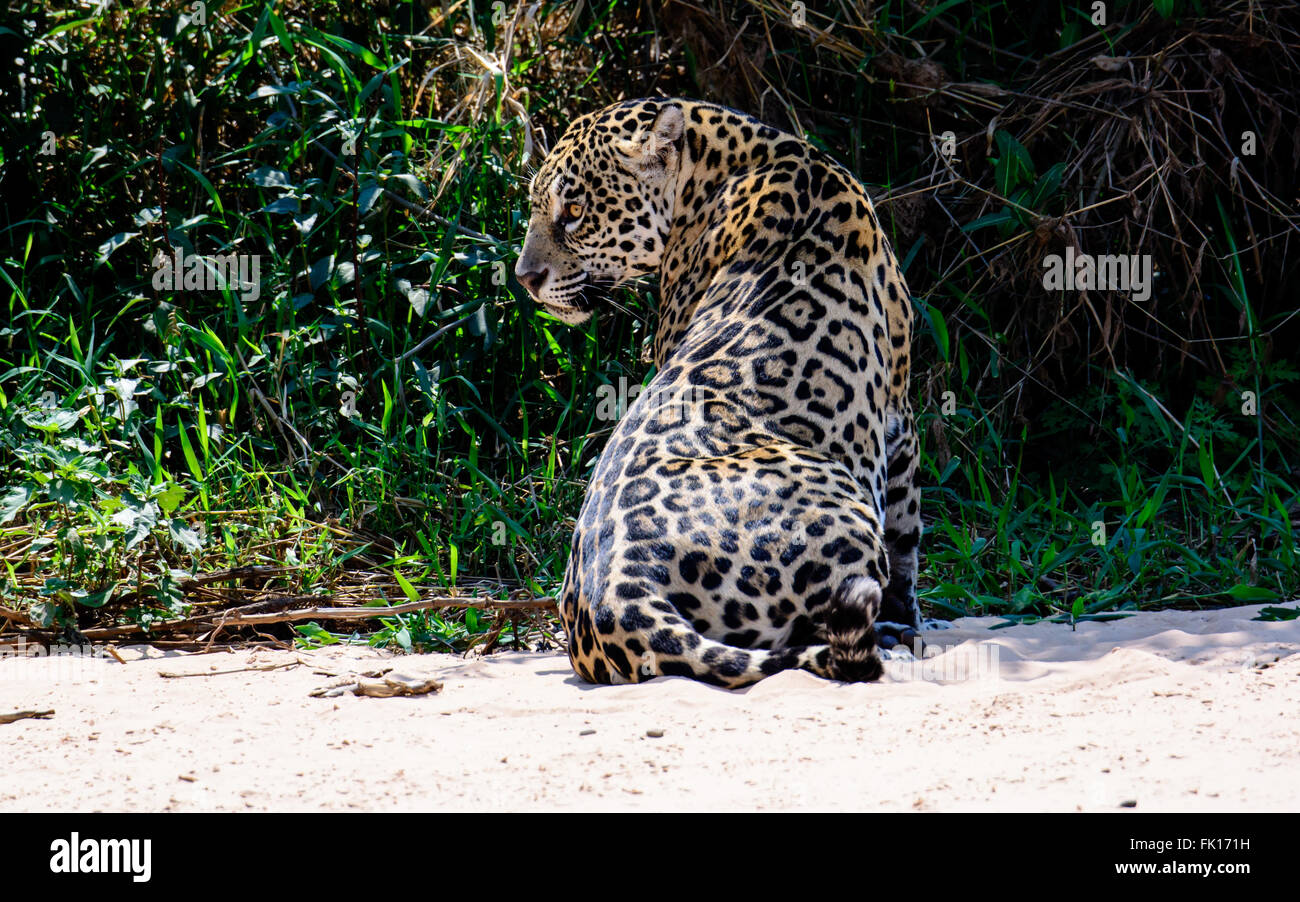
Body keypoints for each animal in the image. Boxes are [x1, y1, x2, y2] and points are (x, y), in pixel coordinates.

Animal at [515, 98, 928, 688]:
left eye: (573, 210)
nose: (525, 277)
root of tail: (620, 598)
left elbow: (908, 530)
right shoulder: (898, 409)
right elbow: (906, 529)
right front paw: (907, 619)